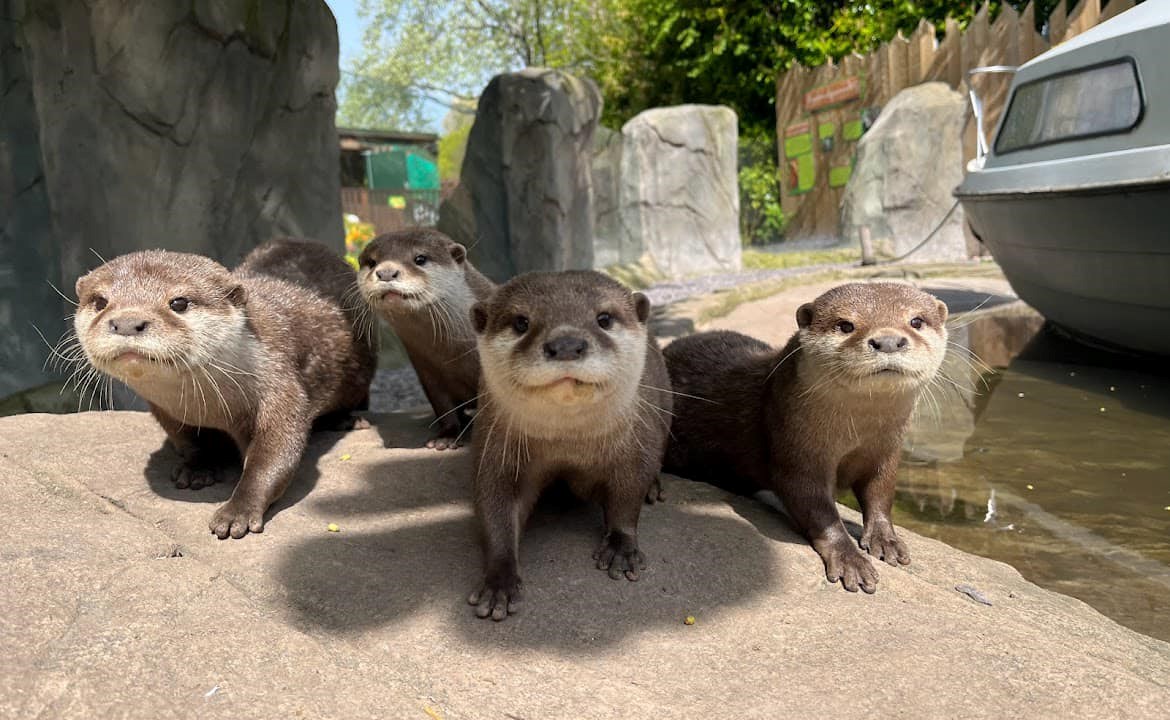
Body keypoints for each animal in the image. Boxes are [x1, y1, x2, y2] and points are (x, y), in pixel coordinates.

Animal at [73, 239, 376, 539]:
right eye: (100, 301)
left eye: (179, 302)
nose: (126, 322)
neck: (211, 408)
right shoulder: (165, 410)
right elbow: (187, 440)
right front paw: (198, 466)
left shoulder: (279, 384)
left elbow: (274, 455)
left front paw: (237, 512)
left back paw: (345, 420)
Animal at [357, 229, 494, 449]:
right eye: (371, 262)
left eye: (420, 259)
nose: (386, 273)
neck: (455, 356)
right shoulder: (428, 373)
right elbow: (443, 408)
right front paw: (446, 436)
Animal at [466, 270, 673, 621]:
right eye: (521, 322)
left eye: (604, 318)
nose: (565, 345)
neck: (569, 445)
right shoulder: (495, 449)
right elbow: (494, 503)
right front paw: (499, 582)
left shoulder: (637, 444)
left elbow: (628, 494)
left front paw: (621, 547)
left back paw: (654, 488)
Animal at [663, 282, 948, 593]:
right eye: (845, 325)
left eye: (916, 321)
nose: (887, 340)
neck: (853, 436)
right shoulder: (796, 448)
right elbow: (814, 506)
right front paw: (849, 559)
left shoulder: (886, 451)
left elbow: (880, 493)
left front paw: (886, 539)